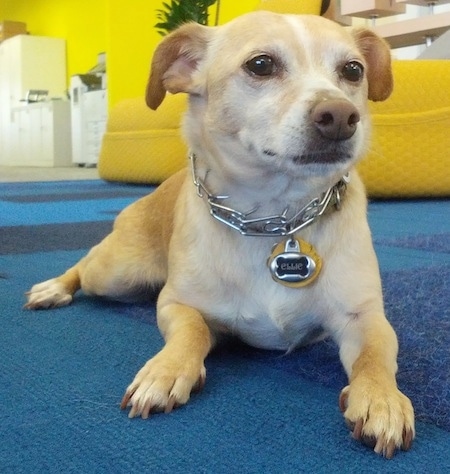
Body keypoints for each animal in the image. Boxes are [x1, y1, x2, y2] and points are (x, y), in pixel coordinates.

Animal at [26, 12, 414, 460]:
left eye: (353, 70)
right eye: (260, 65)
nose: (341, 115)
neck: (276, 219)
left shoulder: (364, 318)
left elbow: (374, 358)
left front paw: (382, 399)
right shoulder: (176, 304)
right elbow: (192, 333)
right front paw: (166, 371)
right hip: (115, 274)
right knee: (84, 262)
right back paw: (54, 287)